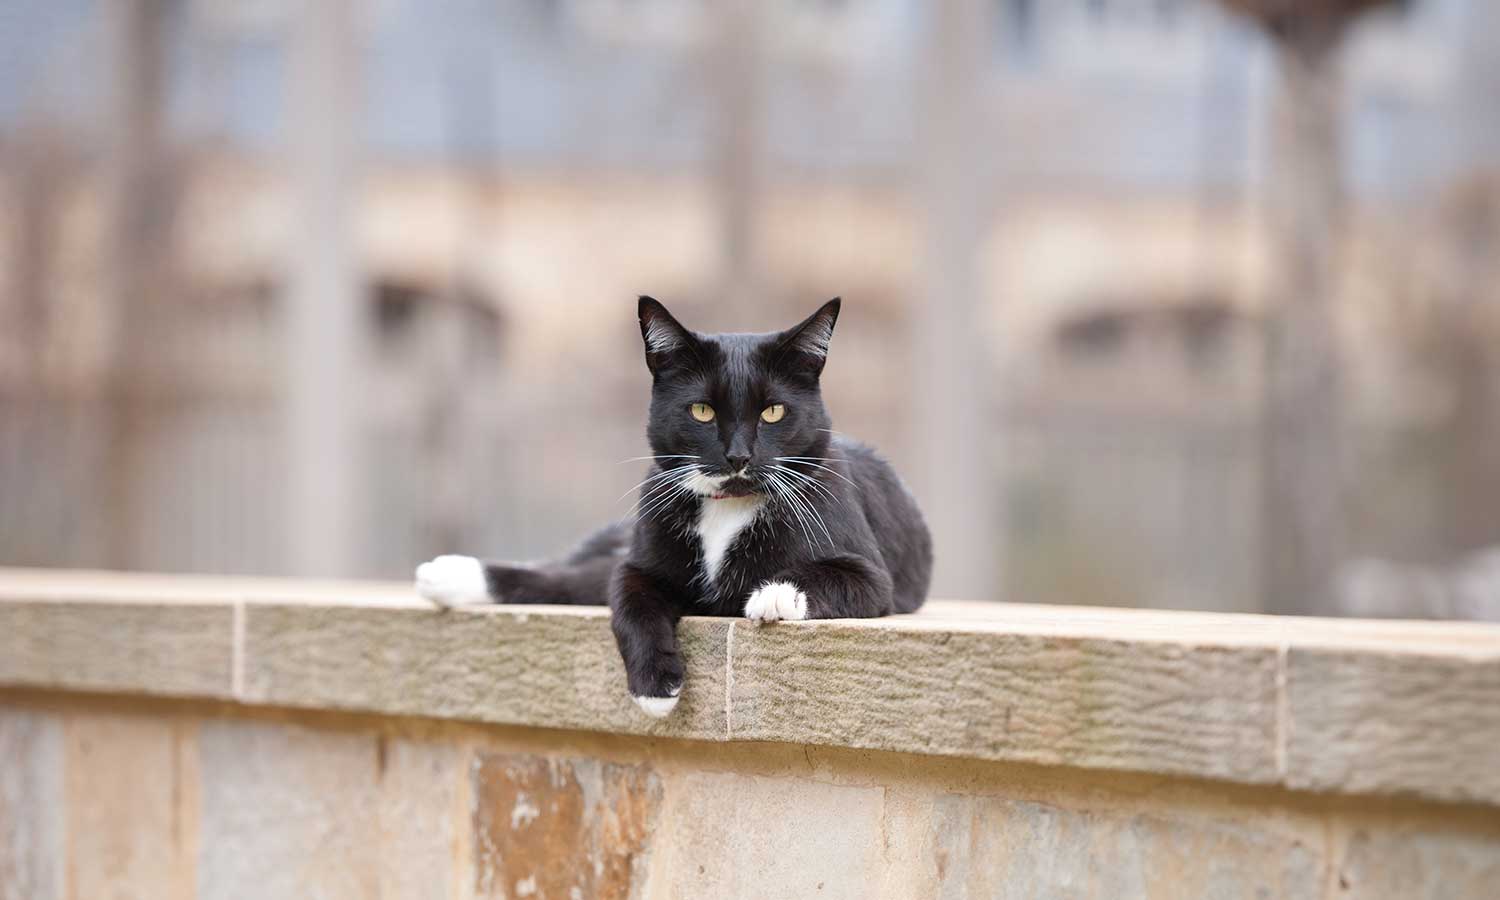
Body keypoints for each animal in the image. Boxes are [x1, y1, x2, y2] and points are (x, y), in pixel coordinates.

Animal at [417, 298, 930, 720]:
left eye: (773, 412)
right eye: (701, 411)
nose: (739, 456)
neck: (727, 507)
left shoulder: (870, 574)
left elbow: (835, 576)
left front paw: (773, 595)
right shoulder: (641, 564)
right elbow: (629, 602)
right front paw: (654, 687)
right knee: (574, 576)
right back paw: (448, 574)